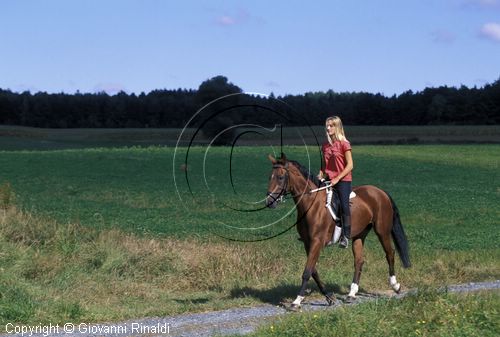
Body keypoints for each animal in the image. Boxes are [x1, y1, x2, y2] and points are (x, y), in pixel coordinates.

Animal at [266, 154, 410, 306]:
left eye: (280, 177)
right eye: (270, 177)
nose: (269, 202)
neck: (311, 204)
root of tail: (380, 192)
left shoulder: (317, 242)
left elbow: (307, 271)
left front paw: (297, 301)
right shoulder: (308, 243)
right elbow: (313, 271)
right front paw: (329, 296)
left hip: (382, 231)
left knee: (390, 253)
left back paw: (396, 286)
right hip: (359, 234)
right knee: (359, 261)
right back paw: (351, 294)